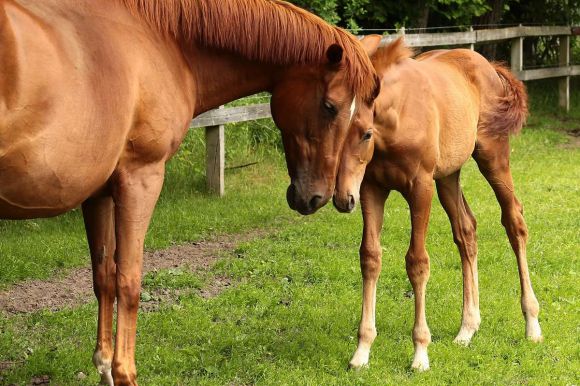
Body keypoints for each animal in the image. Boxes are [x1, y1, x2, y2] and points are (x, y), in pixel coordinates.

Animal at [1, 1, 380, 384]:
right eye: (330, 106)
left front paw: (106, 366)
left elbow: (104, 277)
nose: (317, 197)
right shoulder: (140, 179)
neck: (160, 41)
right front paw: (125, 372)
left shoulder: (99, 194)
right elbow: (128, 282)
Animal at [334, 38, 540, 370]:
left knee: (514, 223)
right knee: (466, 231)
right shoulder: (371, 189)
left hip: (492, 157)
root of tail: (489, 67)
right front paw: (362, 350)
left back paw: (532, 324)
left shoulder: (421, 188)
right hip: (448, 176)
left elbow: (417, 262)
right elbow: (370, 257)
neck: (398, 118)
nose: (342, 198)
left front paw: (420, 353)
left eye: (366, 133)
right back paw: (467, 328)